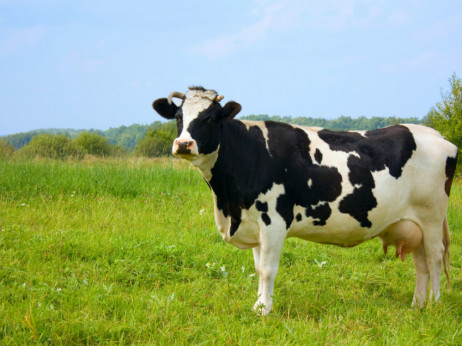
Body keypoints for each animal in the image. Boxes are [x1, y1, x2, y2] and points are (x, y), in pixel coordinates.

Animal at [152, 85, 458, 314]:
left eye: (211, 118)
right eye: (178, 116)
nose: (183, 144)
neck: (228, 203)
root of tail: (437, 135)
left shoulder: (273, 221)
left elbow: (267, 270)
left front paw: (264, 310)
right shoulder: (253, 222)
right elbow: (258, 267)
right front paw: (258, 305)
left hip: (431, 217)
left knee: (434, 258)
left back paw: (433, 304)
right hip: (413, 222)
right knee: (421, 264)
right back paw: (417, 305)